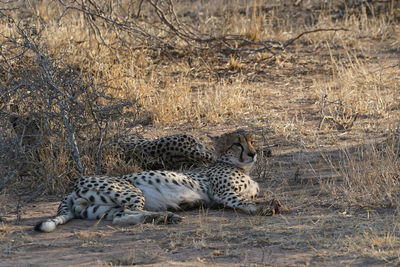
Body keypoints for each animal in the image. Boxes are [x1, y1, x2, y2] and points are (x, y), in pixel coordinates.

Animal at [35, 129, 282, 232]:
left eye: (251, 141)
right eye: (237, 144)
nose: (253, 154)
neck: (240, 167)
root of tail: (74, 186)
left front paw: (272, 203)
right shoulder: (223, 193)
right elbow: (245, 201)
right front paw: (265, 208)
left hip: (101, 208)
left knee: (119, 217)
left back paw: (165, 217)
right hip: (131, 190)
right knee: (127, 214)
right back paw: (166, 216)